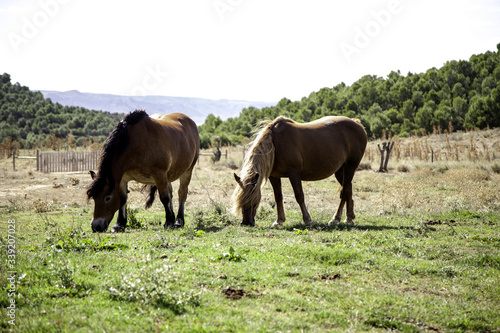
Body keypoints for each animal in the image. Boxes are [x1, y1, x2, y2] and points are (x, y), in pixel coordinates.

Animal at [231, 115, 368, 227]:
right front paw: (279, 221)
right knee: (348, 190)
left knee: (344, 192)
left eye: (251, 198)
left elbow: (299, 195)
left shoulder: (294, 173)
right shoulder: (274, 176)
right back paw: (349, 218)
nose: (246, 223)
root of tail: (357, 124)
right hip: (340, 171)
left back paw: (336, 219)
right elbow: (278, 197)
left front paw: (307, 219)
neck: (275, 144)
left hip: (350, 167)